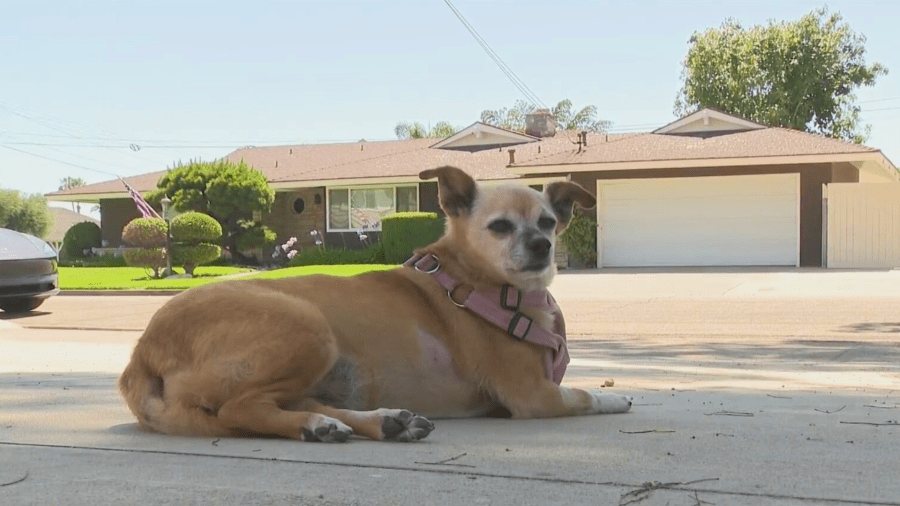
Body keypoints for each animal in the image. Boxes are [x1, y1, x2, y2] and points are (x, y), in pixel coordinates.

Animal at [119, 167, 632, 442]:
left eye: (547, 221)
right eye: (500, 226)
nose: (543, 246)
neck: (482, 284)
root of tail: (141, 353)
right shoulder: (533, 395)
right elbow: (583, 396)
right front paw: (613, 396)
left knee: (280, 403)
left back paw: (373, 422)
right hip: (307, 324)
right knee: (238, 410)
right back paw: (319, 425)